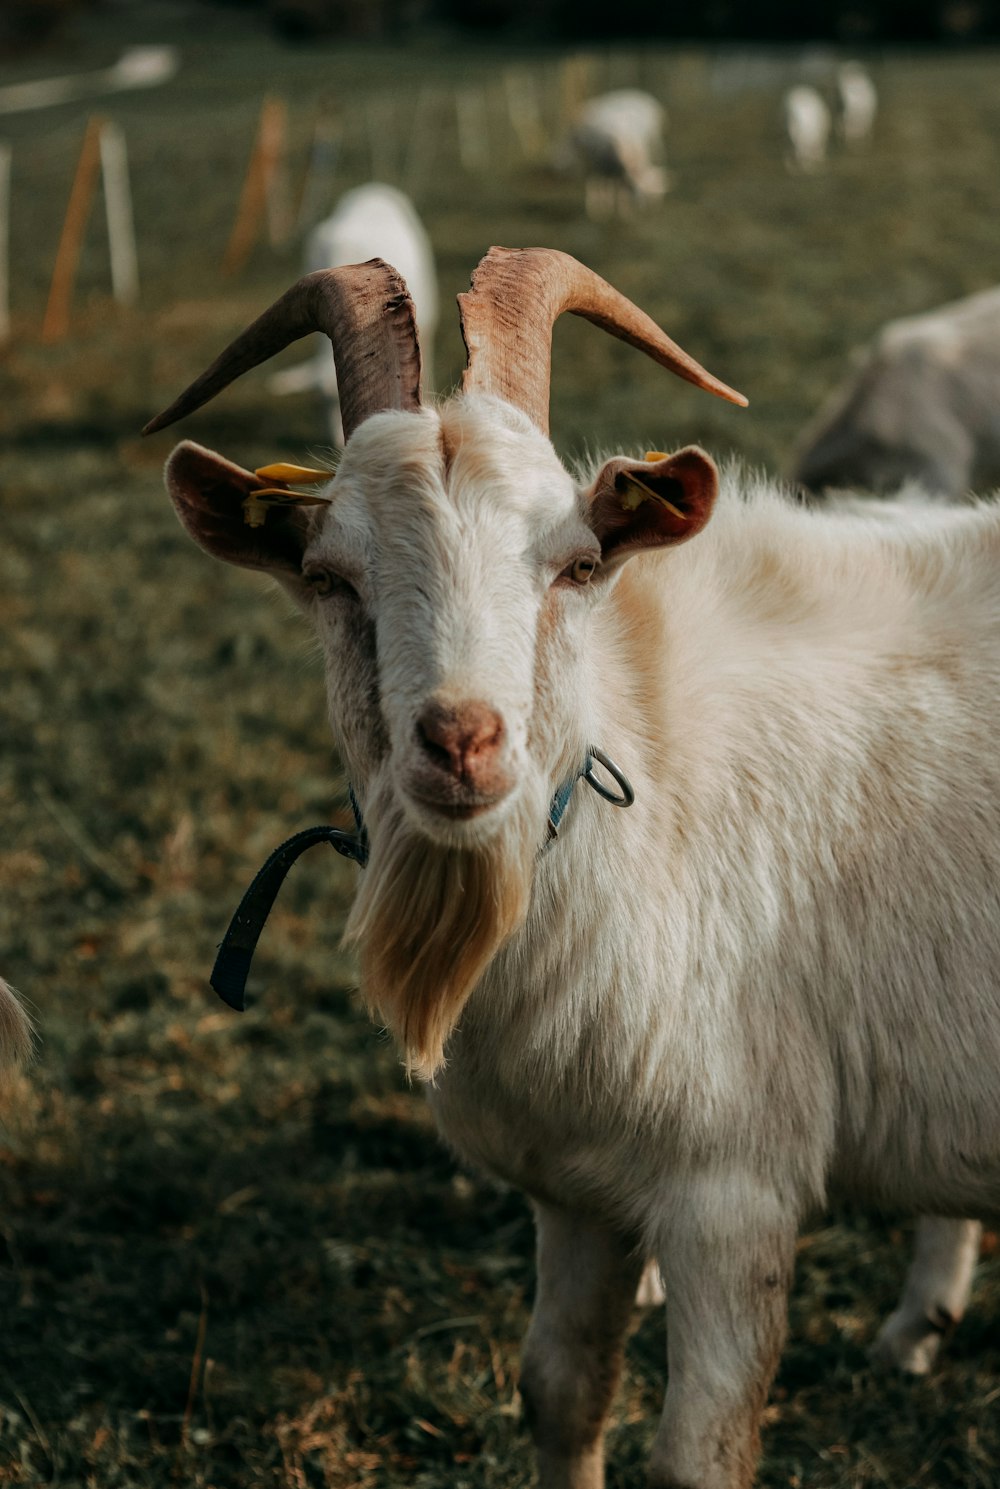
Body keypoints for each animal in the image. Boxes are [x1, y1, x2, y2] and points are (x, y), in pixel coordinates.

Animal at [559, 88, 666, 218]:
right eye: (641, 187)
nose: (642, 206)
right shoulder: (597, 164)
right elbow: (595, 184)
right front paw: (596, 208)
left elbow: (616, 187)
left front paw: (621, 209)